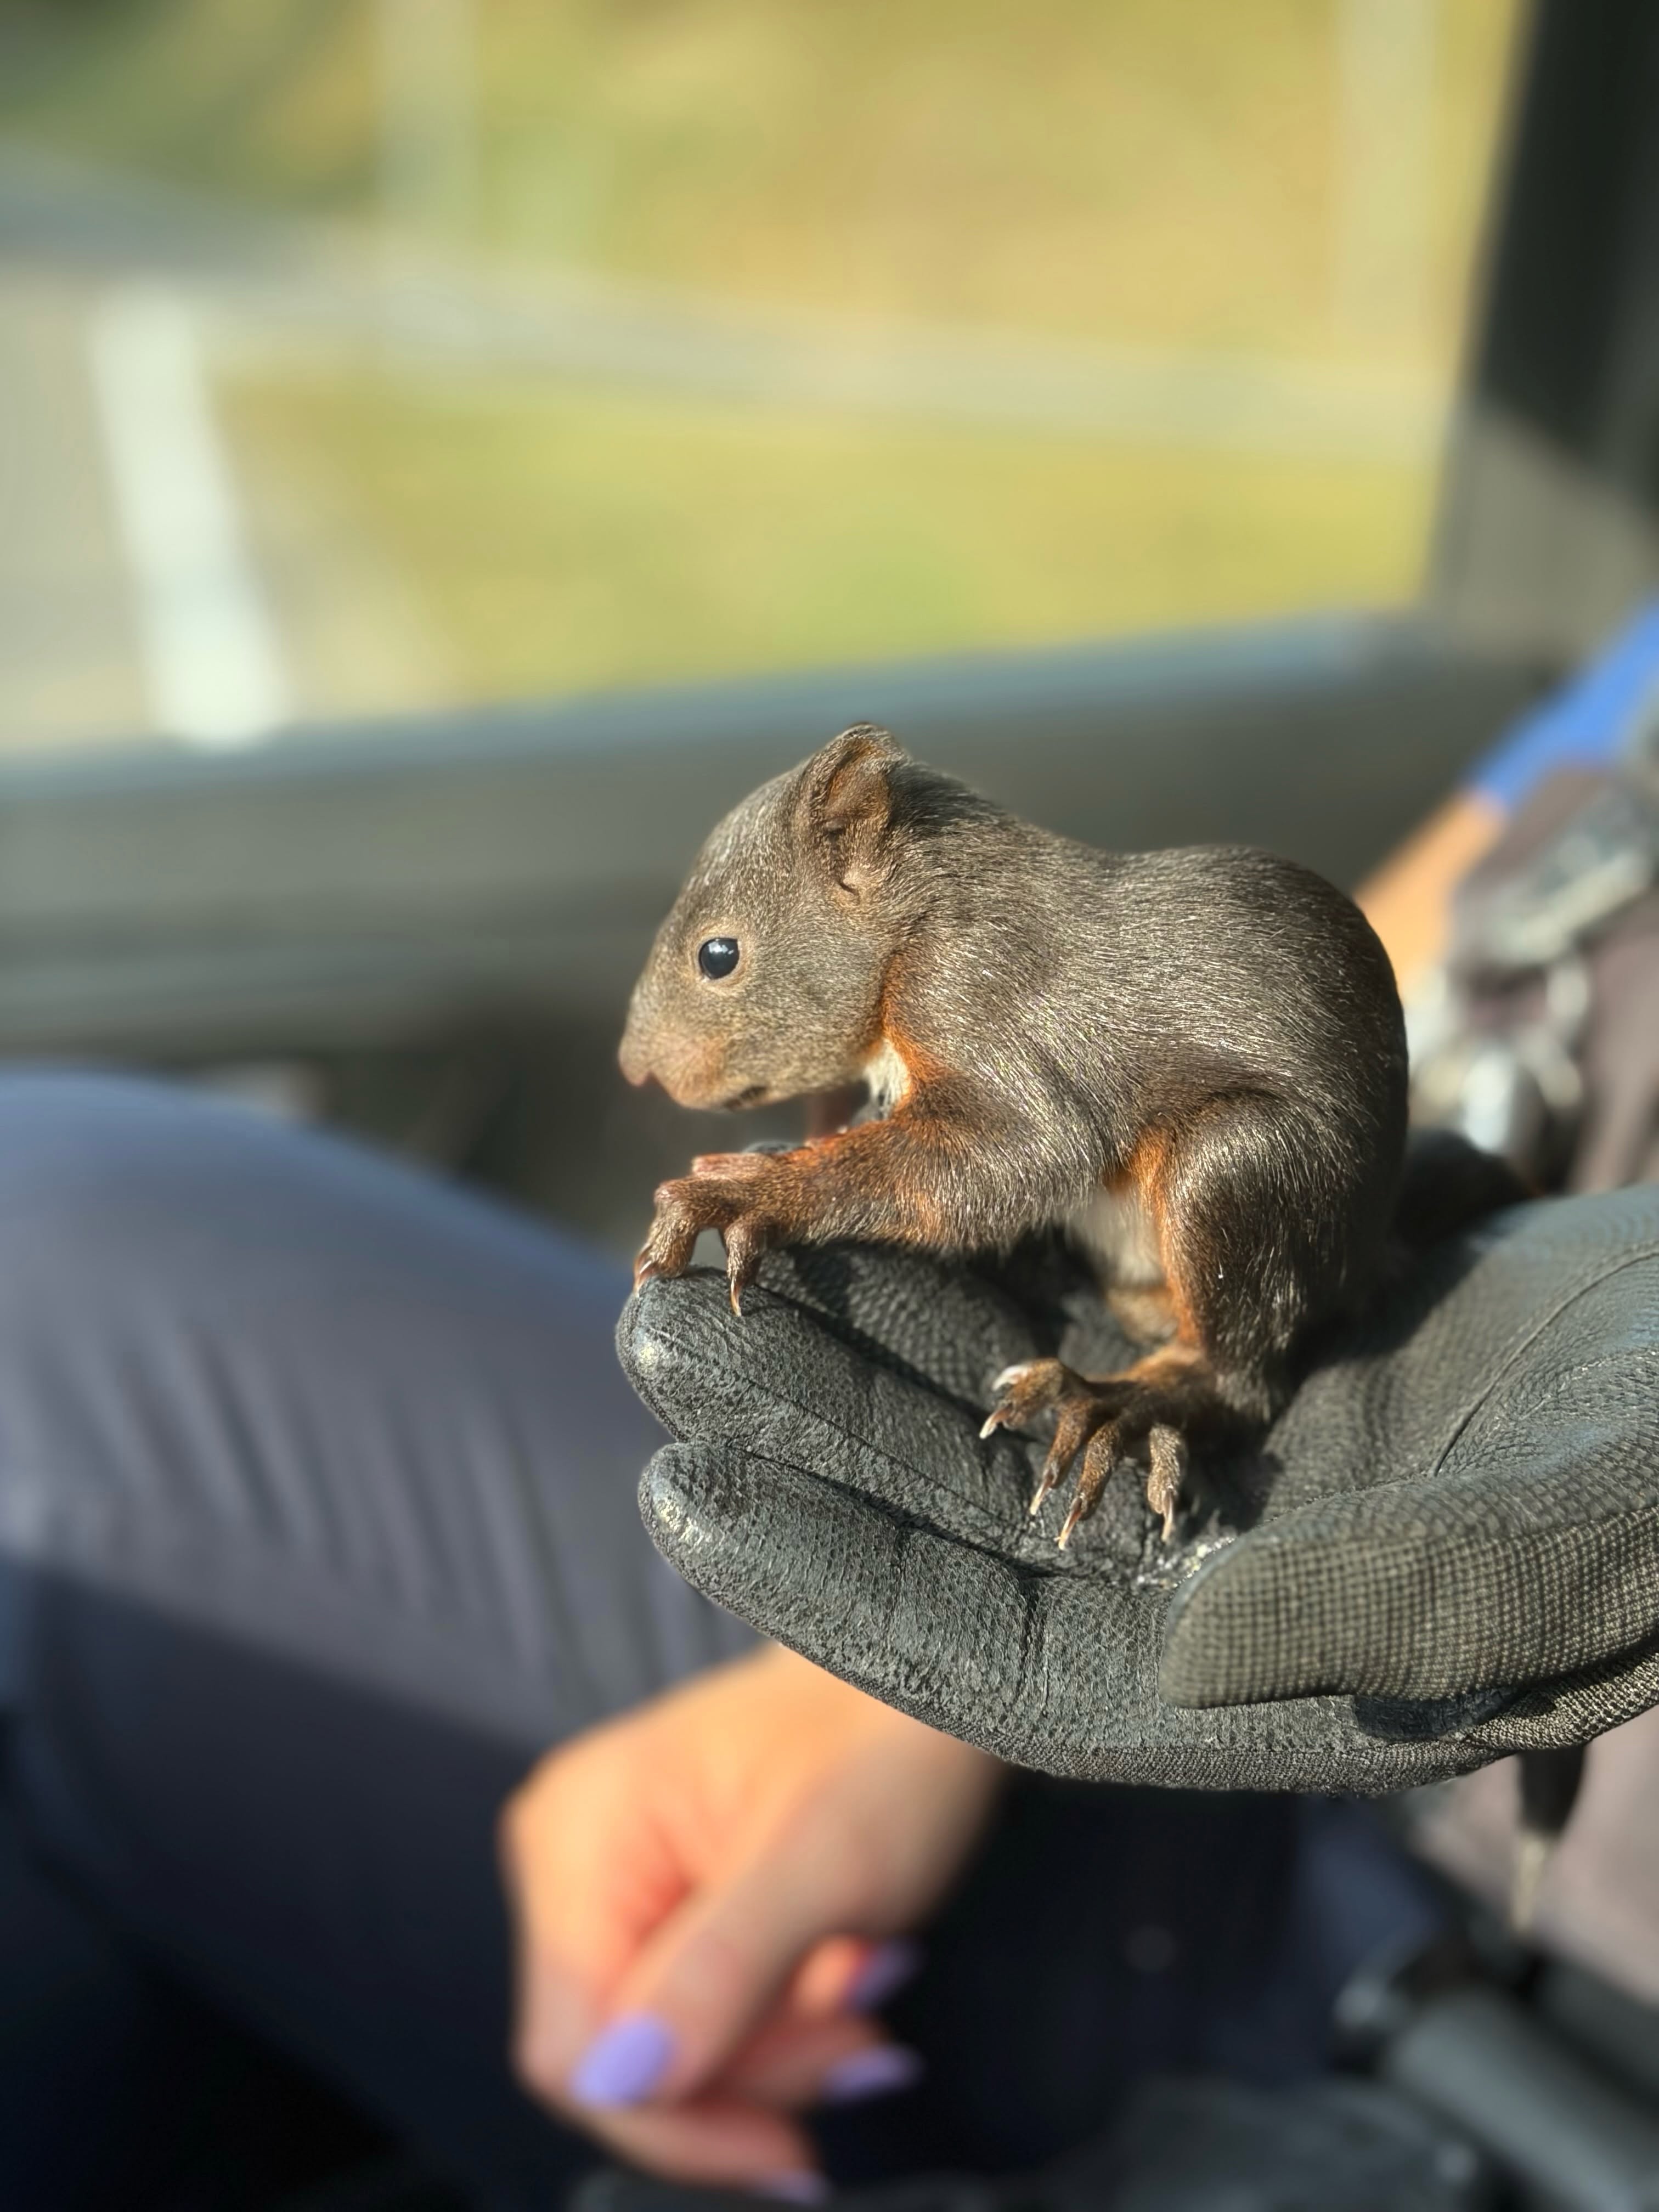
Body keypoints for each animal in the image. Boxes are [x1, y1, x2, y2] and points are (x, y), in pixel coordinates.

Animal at [619, 724, 1513, 1549]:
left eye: (719, 955)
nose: (633, 1068)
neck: (916, 919)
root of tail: (1369, 1258)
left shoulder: (982, 1000)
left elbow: (1011, 1158)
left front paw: (747, 1191)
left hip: (1239, 1172)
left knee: (1238, 1377)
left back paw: (1115, 1405)